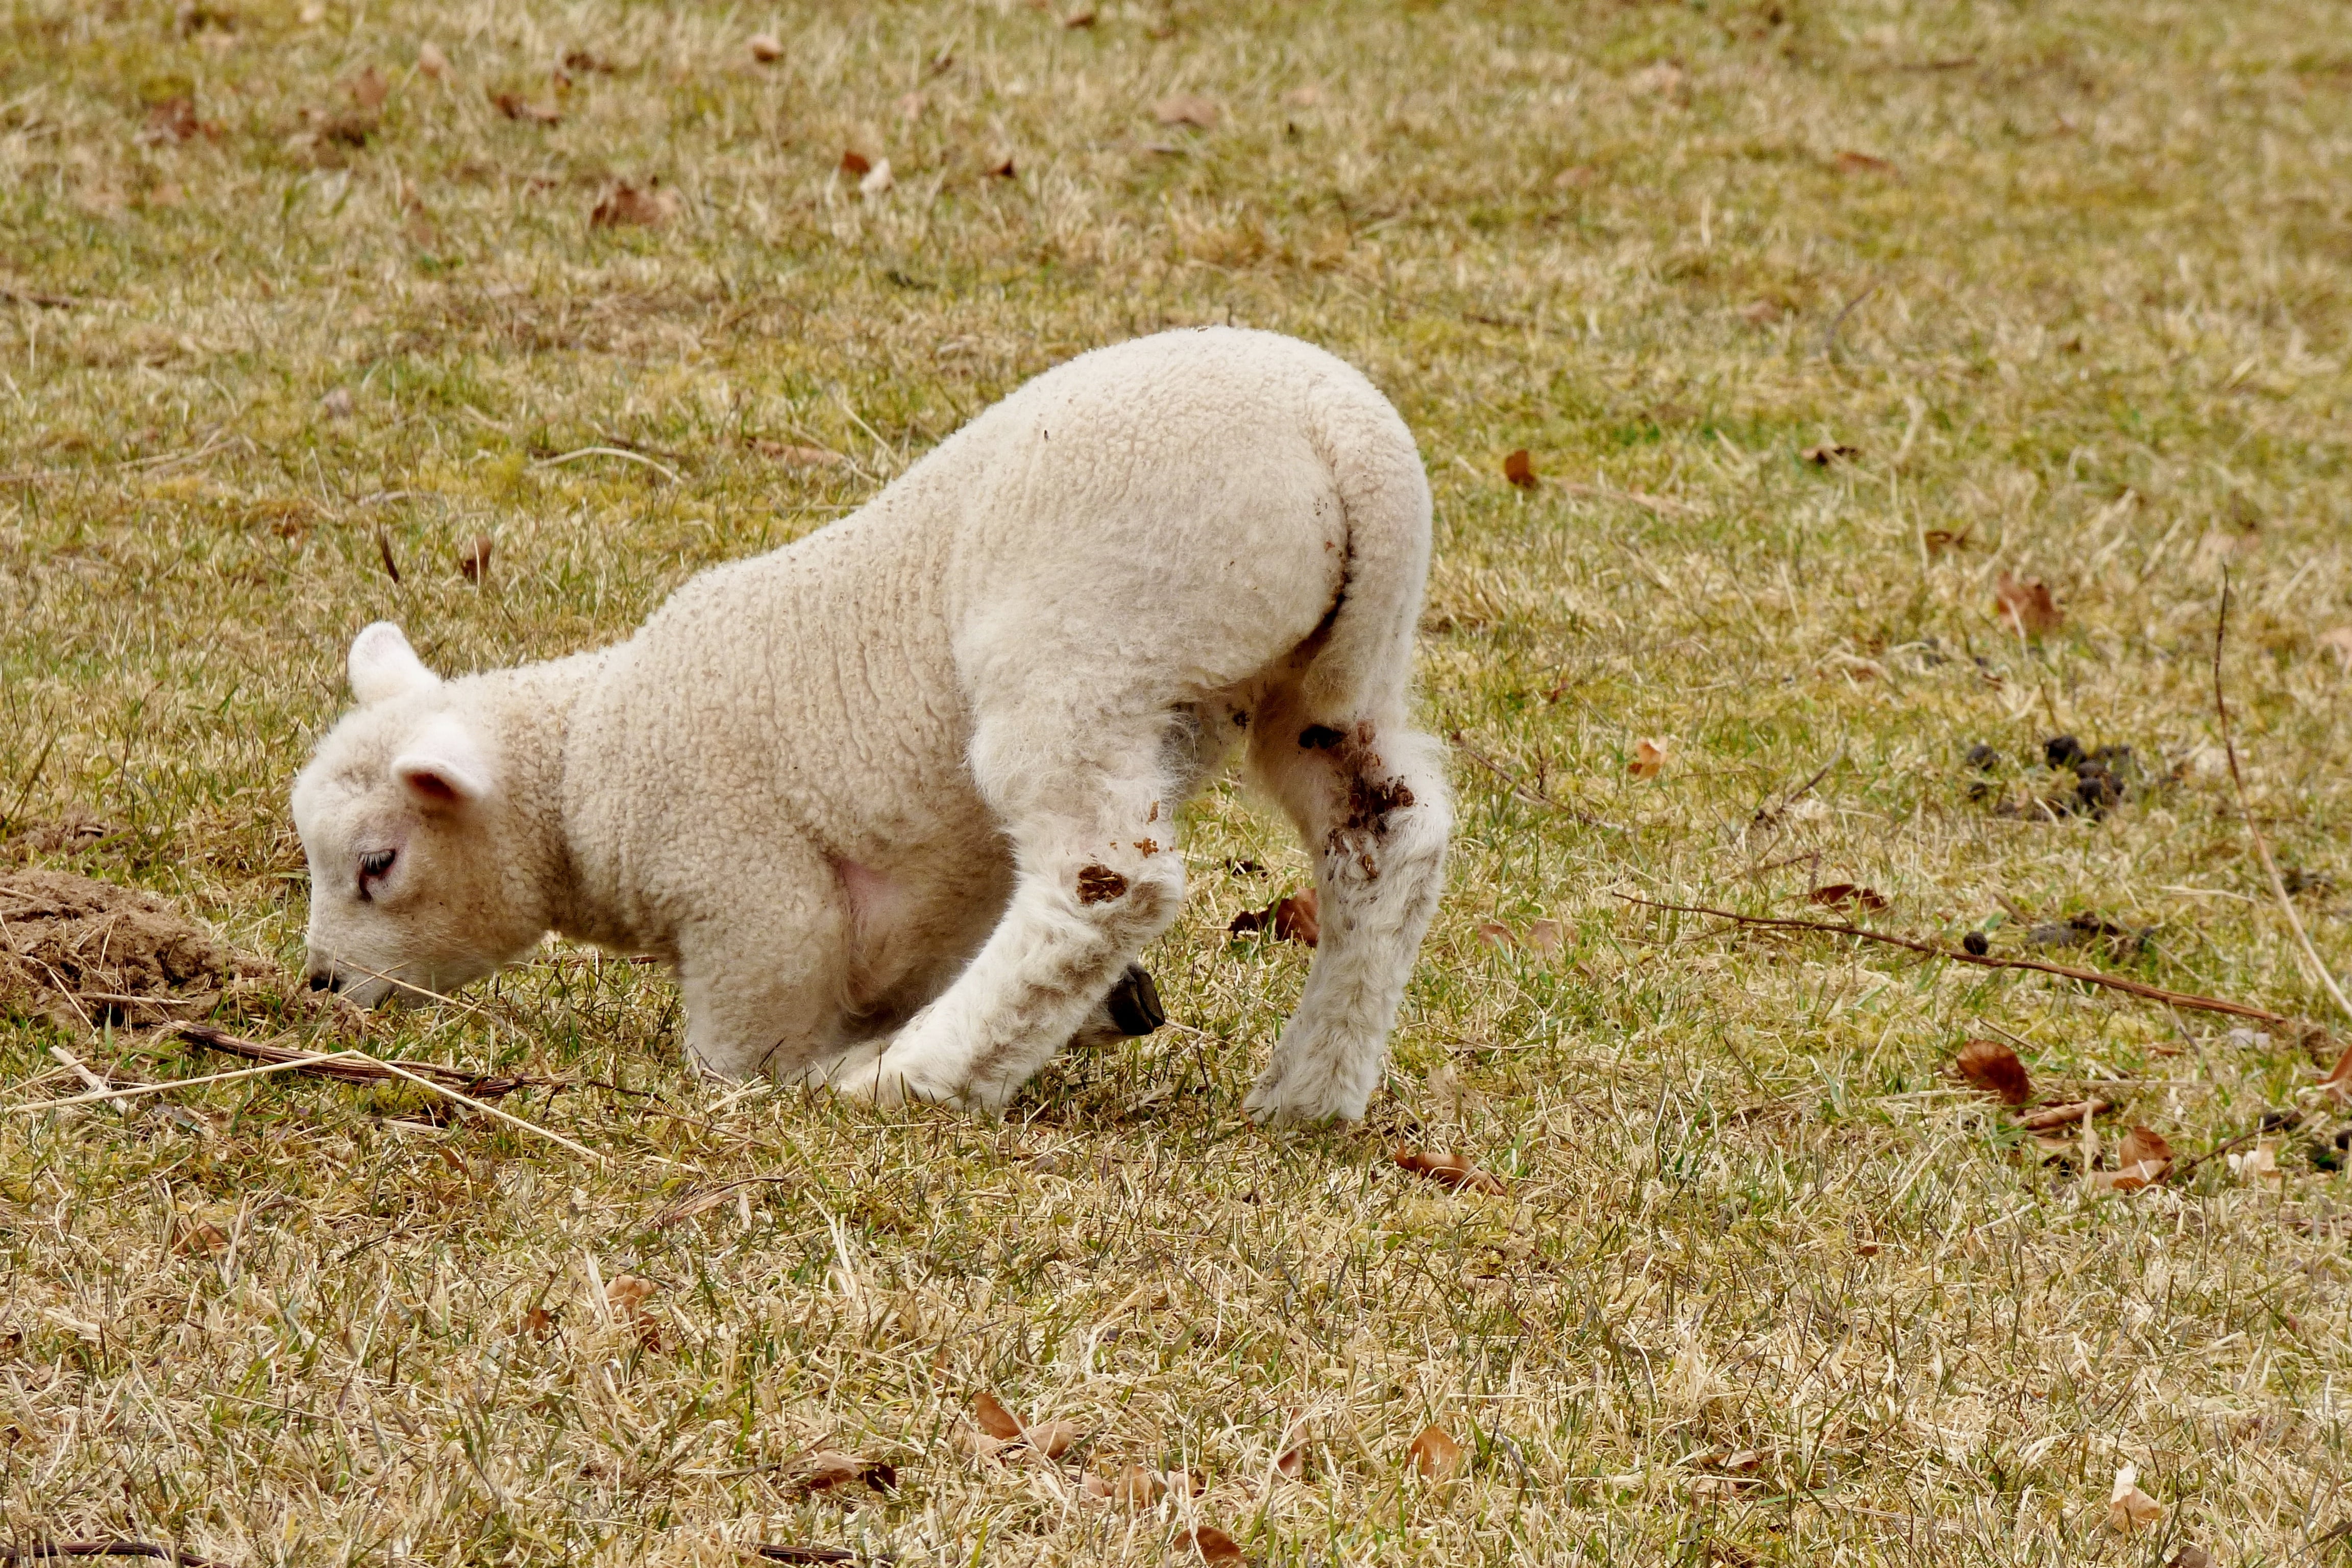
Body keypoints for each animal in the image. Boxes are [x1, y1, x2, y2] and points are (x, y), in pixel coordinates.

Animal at [290, 327, 1452, 1123]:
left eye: (377, 864)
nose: (321, 985)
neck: (584, 763)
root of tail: (1344, 440)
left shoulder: (749, 900)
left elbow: (739, 1051)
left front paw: (813, 1076)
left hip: (1087, 644)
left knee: (1105, 882)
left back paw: (912, 1081)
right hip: (1329, 680)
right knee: (1386, 837)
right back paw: (1308, 1096)